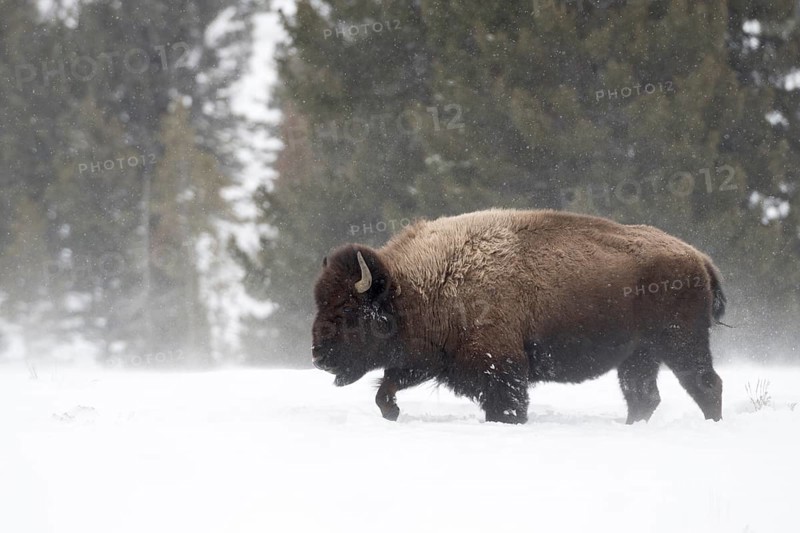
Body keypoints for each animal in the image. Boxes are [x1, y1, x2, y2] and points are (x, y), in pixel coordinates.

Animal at [312, 209, 726, 424]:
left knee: (706, 385)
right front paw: (393, 412)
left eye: (348, 309)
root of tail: (699, 258)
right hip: (639, 356)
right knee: (643, 396)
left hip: (681, 343)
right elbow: (385, 389)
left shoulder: (501, 368)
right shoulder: (427, 360)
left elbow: (507, 406)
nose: (318, 356)